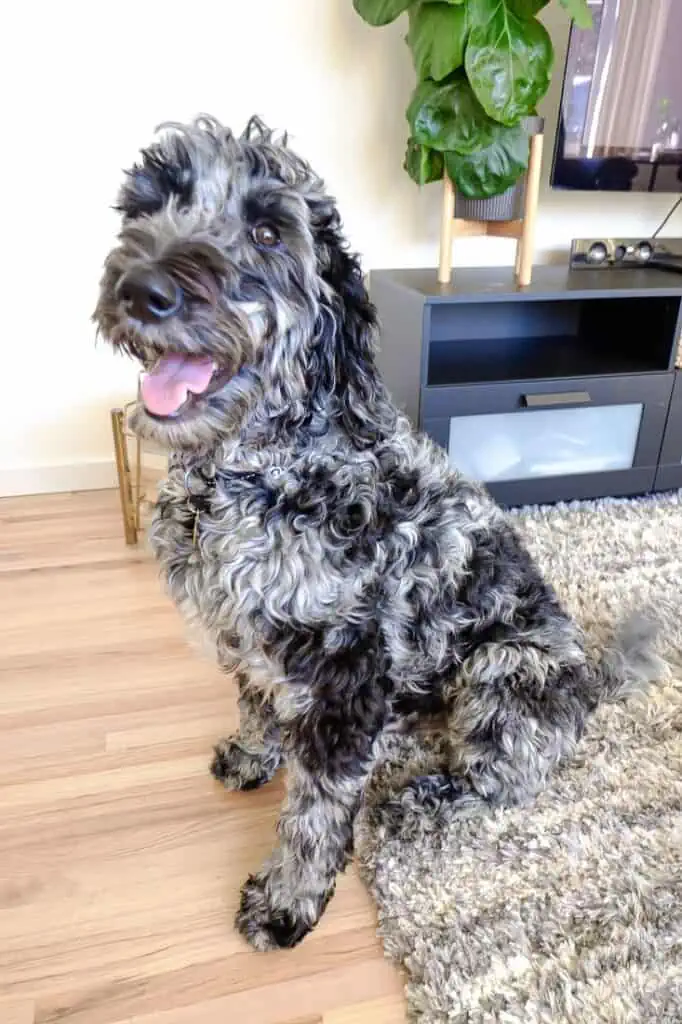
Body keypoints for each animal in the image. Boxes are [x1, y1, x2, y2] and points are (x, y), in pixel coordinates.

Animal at [93, 117, 655, 950]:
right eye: (147, 207)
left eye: (267, 231)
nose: (143, 289)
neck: (253, 475)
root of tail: (592, 679)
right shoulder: (255, 641)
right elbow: (255, 706)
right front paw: (254, 755)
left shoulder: (346, 670)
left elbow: (317, 810)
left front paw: (288, 900)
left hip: (506, 669)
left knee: (506, 780)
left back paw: (424, 795)